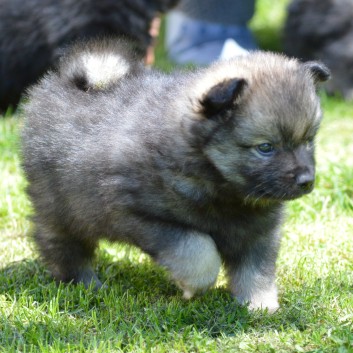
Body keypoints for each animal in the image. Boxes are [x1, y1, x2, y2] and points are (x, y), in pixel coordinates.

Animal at [21, 37, 330, 310]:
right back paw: (84, 283)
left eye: (308, 140)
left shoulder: (258, 231)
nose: (307, 181)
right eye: (265, 147)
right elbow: (198, 251)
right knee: (62, 246)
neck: (218, 182)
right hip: (61, 207)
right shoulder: (144, 217)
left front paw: (259, 304)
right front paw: (193, 285)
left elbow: (256, 269)